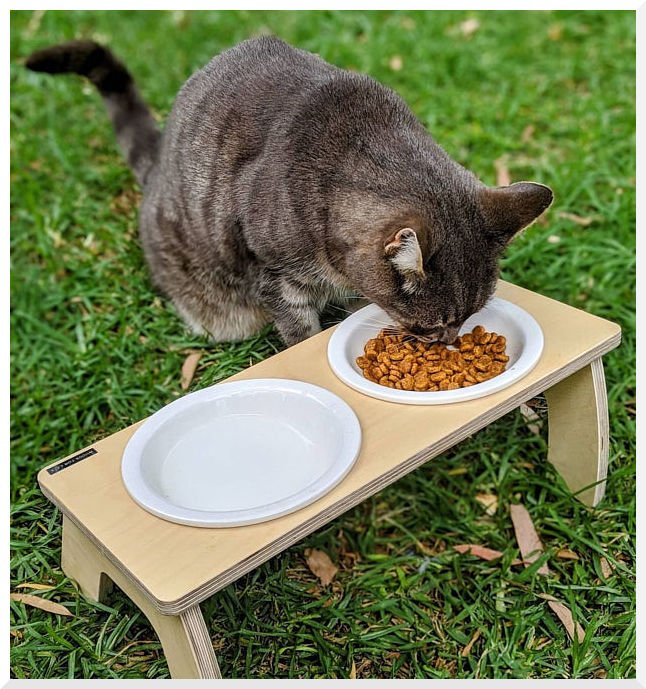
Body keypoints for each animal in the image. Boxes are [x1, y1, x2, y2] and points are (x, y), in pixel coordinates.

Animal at [24, 35, 552, 344]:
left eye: (469, 317)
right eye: (433, 324)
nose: (449, 343)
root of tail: (156, 171)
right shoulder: (273, 275)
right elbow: (300, 330)